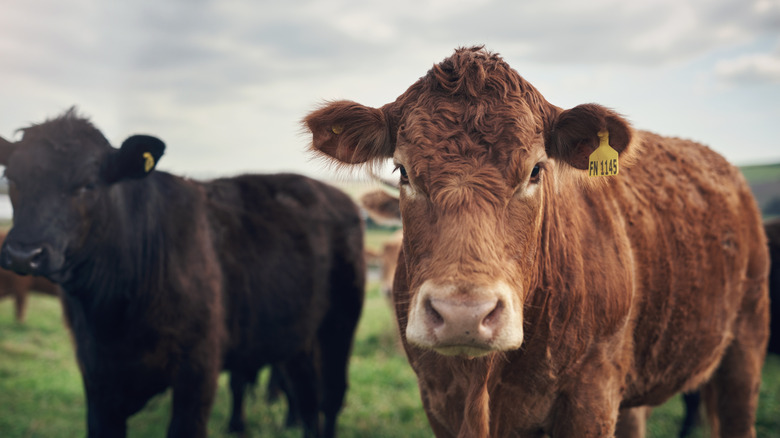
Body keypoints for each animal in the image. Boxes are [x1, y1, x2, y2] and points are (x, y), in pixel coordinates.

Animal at [0, 109, 365, 438]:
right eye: (12, 179)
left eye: (88, 185)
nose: (23, 255)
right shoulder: (97, 379)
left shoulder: (198, 370)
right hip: (296, 335)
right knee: (306, 399)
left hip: (340, 323)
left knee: (331, 397)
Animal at [303, 46, 769, 437]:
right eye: (402, 171)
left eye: (535, 170)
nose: (462, 315)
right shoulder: (439, 401)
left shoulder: (590, 399)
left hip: (745, 346)